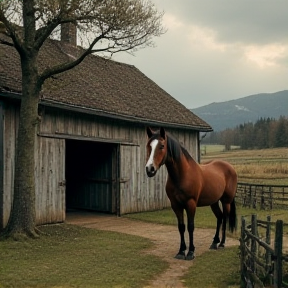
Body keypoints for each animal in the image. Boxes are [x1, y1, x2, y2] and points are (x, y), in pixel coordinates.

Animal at [145, 127, 237, 260]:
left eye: (162, 146)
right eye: (149, 145)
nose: (149, 169)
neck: (182, 175)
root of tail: (230, 167)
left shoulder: (191, 204)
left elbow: (190, 226)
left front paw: (191, 252)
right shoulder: (176, 205)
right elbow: (181, 227)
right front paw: (181, 251)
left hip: (226, 201)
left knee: (225, 218)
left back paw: (222, 243)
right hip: (214, 202)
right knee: (219, 217)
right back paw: (214, 242)